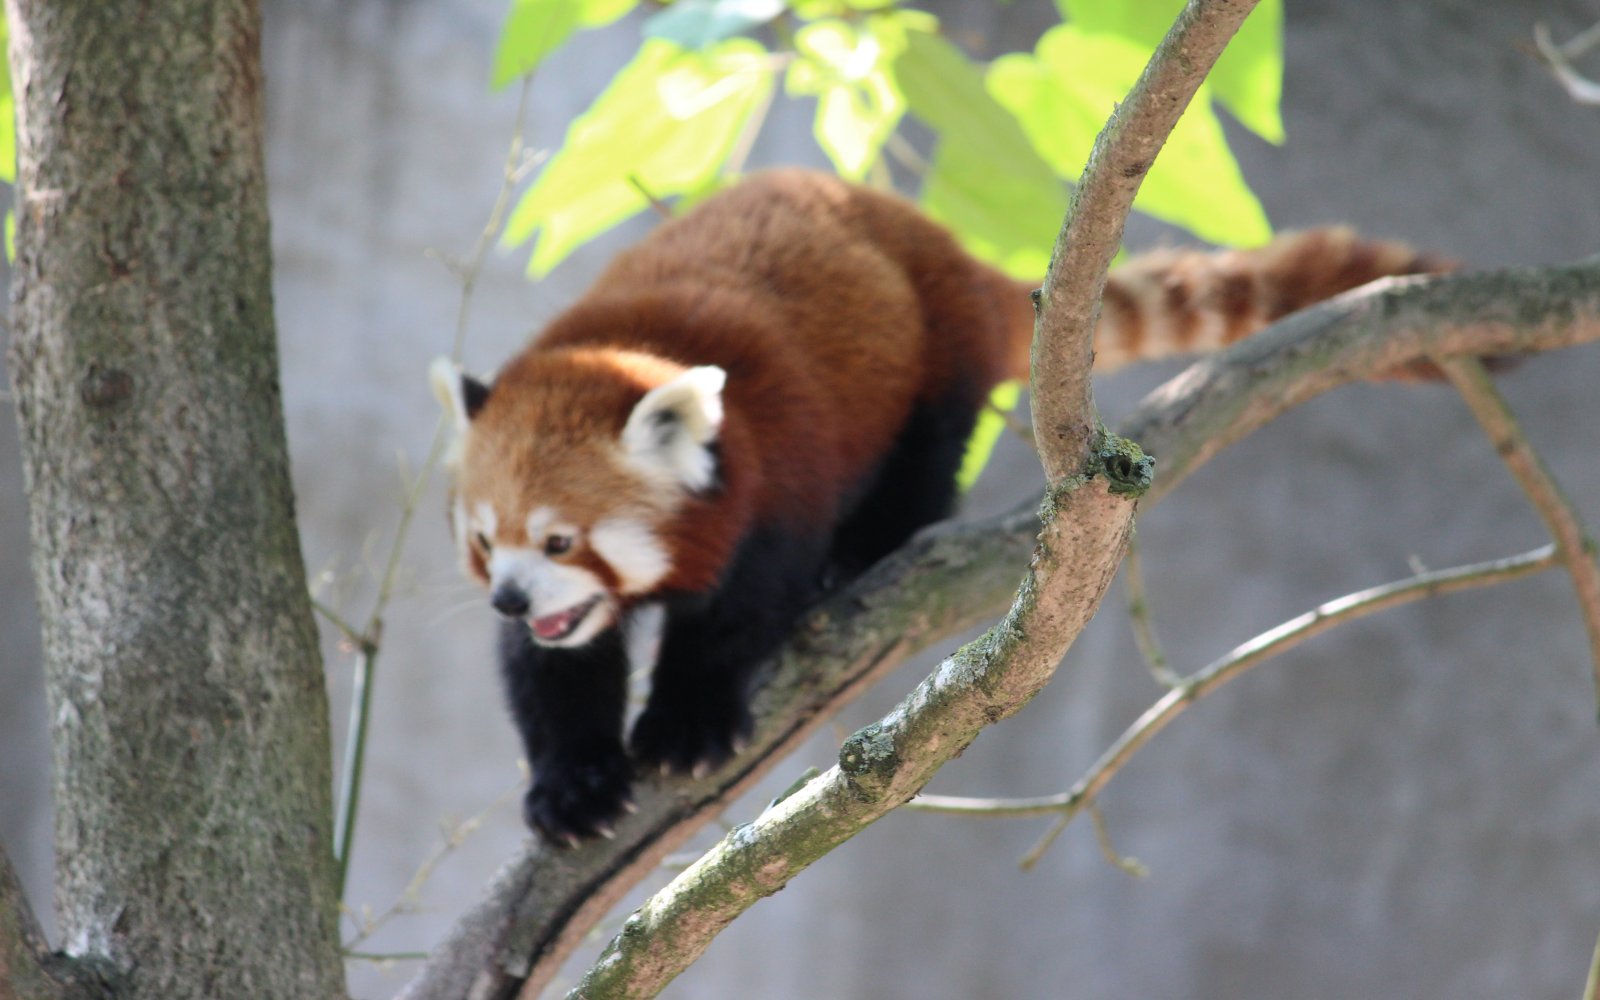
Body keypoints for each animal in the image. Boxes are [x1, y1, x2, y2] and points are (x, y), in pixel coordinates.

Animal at [432, 165, 1446, 844]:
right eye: (486, 543)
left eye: (562, 542)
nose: (511, 599)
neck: (634, 348)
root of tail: (943, 246)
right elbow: (550, 674)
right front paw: (571, 784)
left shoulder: (778, 477)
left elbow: (741, 613)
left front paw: (687, 719)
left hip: (934, 357)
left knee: (924, 462)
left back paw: (872, 546)